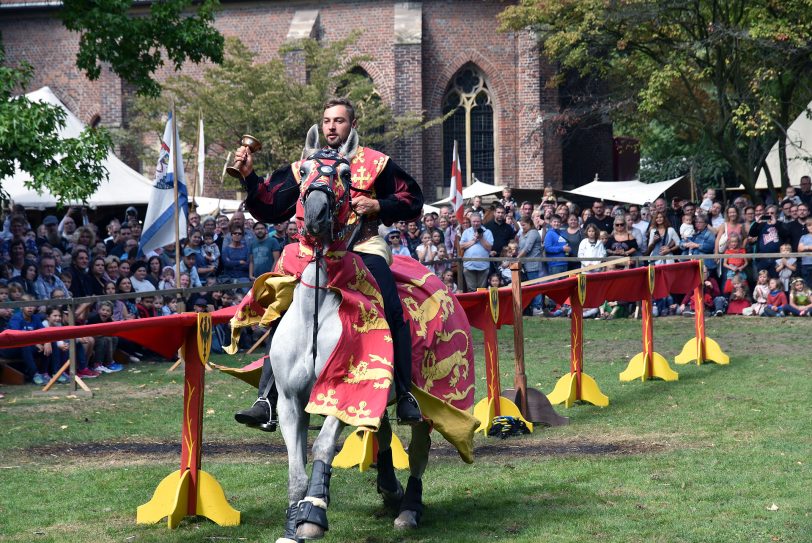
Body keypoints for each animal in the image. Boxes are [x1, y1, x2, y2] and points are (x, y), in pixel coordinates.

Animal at [272, 130, 432, 540]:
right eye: (305, 170)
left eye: (345, 173)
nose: (316, 214)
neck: (317, 311)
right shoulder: (290, 402)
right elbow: (295, 470)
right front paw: (292, 523)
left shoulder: (343, 391)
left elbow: (324, 446)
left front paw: (313, 513)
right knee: (384, 431)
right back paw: (390, 488)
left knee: (420, 442)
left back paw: (409, 509)